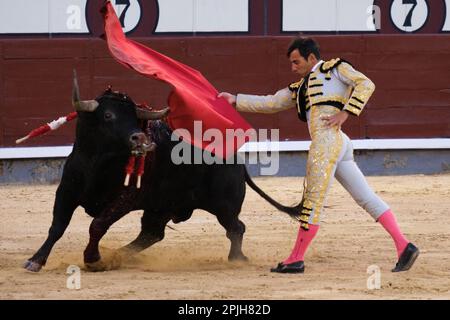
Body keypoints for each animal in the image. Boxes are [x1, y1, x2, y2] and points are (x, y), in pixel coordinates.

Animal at [23, 75, 298, 272]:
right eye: (108, 115)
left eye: (136, 118)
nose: (140, 139)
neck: (97, 162)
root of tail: (235, 158)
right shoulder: (66, 191)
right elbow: (57, 226)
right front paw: (36, 260)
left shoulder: (126, 198)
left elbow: (97, 225)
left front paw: (93, 259)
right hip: (162, 206)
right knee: (152, 233)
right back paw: (119, 256)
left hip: (223, 205)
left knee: (235, 227)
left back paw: (236, 258)